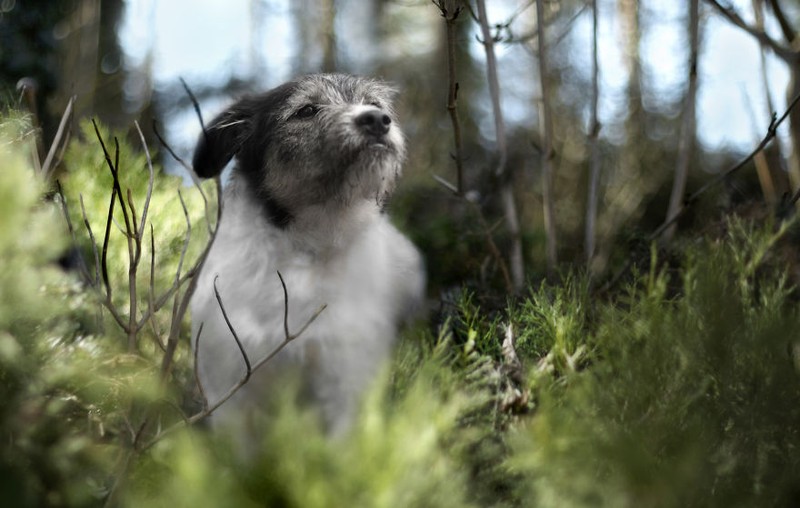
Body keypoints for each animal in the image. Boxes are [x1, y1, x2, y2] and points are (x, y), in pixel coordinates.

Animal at [190, 73, 424, 438]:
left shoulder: (345, 380)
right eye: (306, 110)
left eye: (374, 104)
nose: (376, 120)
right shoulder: (228, 387)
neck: (309, 249)